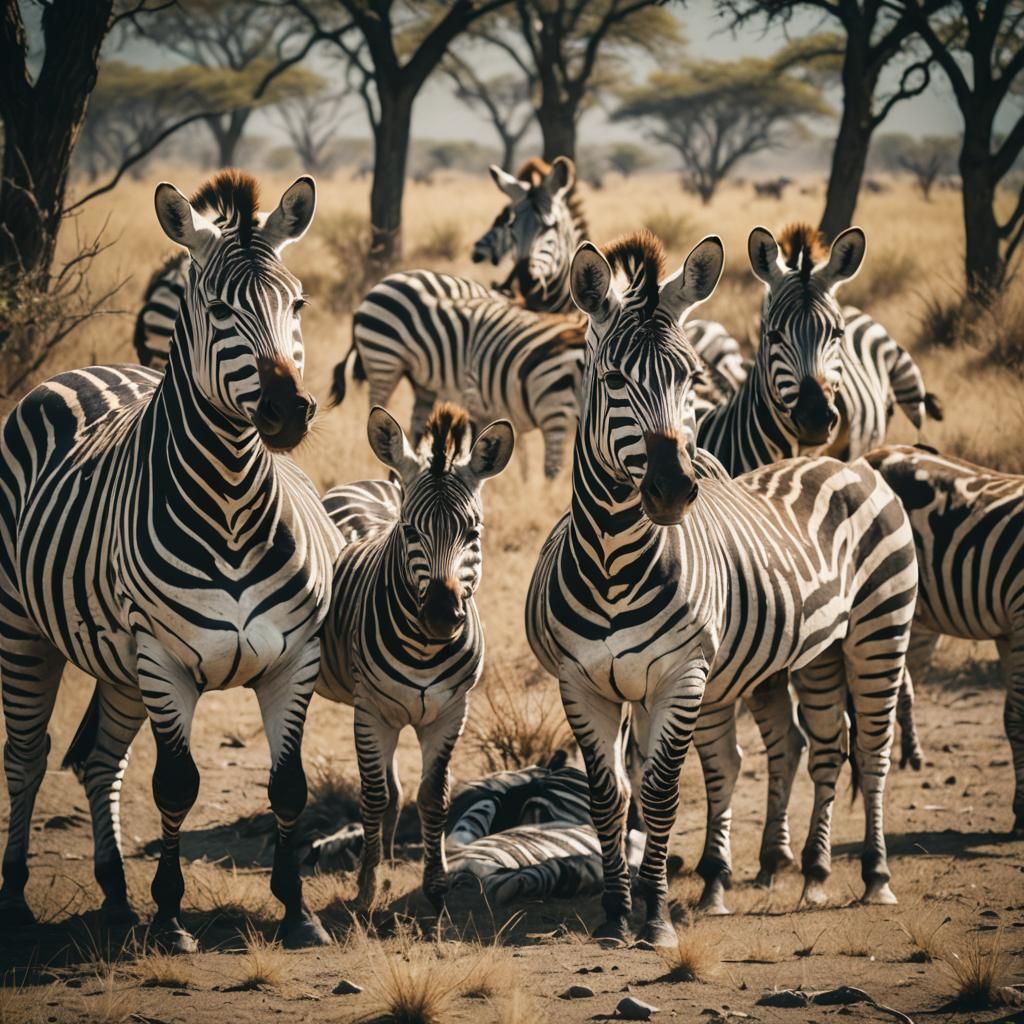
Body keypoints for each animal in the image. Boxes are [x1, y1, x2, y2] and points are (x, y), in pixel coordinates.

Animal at [0, 171, 340, 952]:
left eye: (298, 303)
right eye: (218, 309)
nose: (288, 412)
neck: (235, 504)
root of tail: (87, 369)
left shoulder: (294, 656)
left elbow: (289, 786)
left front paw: (298, 912)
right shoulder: (164, 659)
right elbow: (177, 786)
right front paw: (171, 917)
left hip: (117, 663)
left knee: (100, 761)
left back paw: (115, 896)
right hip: (23, 630)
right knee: (27, 758)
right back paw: (17, 900)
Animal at [316, 402, 514, 909]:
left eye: (473, 531)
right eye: (409, 531)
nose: (442, 617)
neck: (424, 649)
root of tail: (382, 481)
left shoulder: (450, 712)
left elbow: (431, 796)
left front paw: (435, 884)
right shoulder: (370, 711)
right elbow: (372, 796)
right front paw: (366, 888)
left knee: (397, 787)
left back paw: (385, 853)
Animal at [526, 230, 918, 944]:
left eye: (689, 376)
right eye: (614, 379)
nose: (673, 490)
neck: (613, 565)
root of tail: (840, 462)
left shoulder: (682, 677)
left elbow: (660, 793)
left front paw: (655, 917)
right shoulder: (581, 684)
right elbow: (610, 796)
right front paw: (615, 914)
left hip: (880, 633)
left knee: (871, 750)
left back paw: (873, 876)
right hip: (816, 653)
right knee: (821, 744)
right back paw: (809, 870)